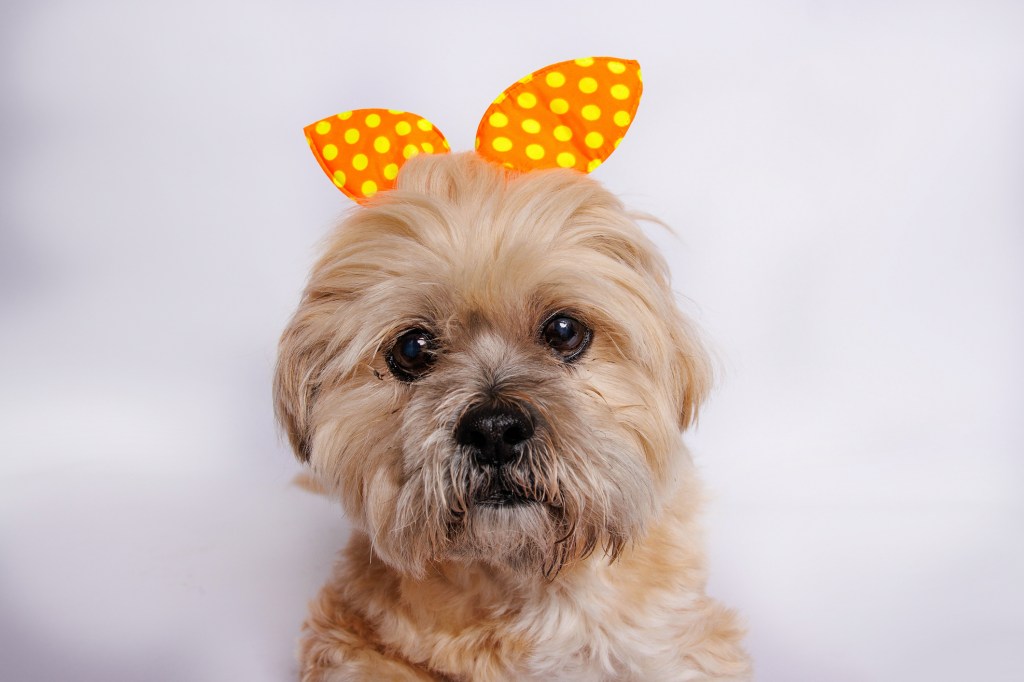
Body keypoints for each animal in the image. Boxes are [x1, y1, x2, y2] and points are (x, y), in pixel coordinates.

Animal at [272, 147, 753, 675]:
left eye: (564, 330)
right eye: (412, 349)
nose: (494, 430)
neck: (530, 590)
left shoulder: (681, 641)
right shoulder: (347, 635)